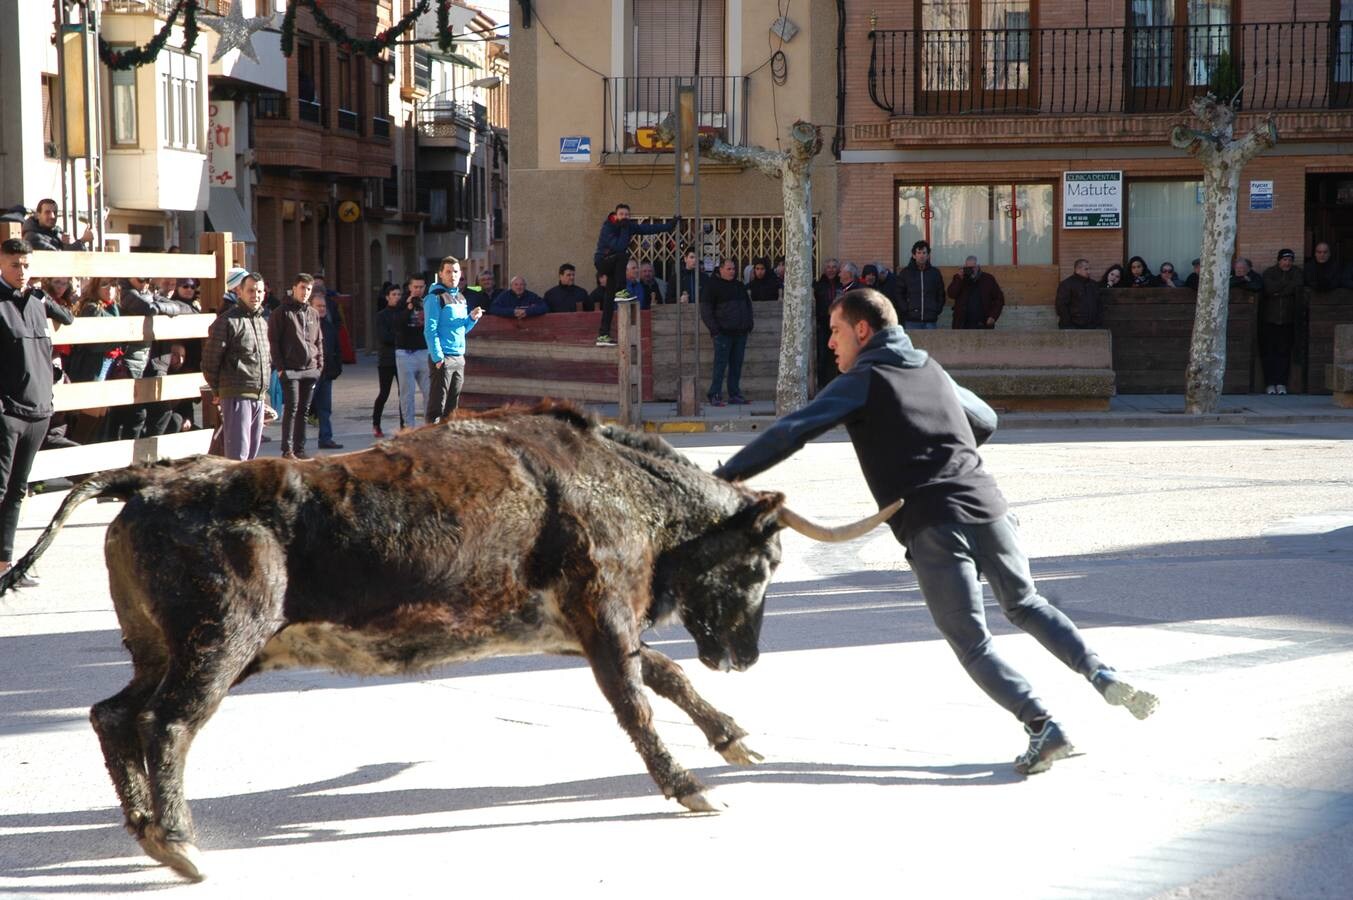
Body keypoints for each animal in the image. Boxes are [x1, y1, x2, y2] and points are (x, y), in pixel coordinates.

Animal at [0, 403, 898, 882]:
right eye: (761, 563)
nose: (744, 658)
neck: (617, 482)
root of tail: (154, 477)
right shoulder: (604, 612)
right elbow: (636, 705)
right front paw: (687, 785)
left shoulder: (570, 629)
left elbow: (665, 675)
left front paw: (732, 737)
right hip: (223, 644)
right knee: (169, 723)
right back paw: (180, 842)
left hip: (166, 649)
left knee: (114, 714)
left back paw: (145, 827)